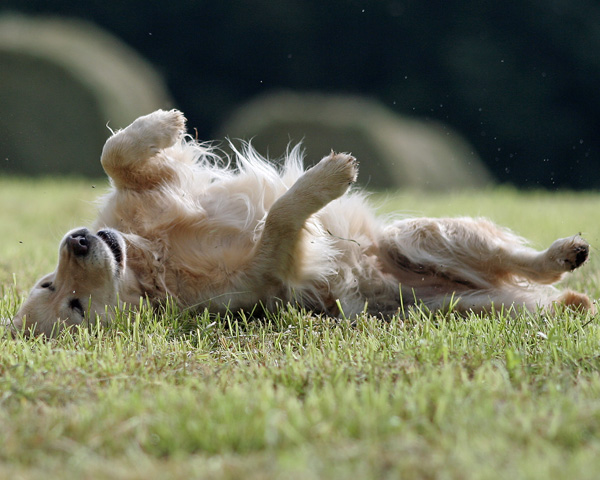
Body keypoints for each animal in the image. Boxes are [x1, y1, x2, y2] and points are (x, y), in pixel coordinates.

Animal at [9, 109, 596, 336]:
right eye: (74, 305)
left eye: (49, 283)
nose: (77, 239)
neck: (152, 258)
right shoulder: (272, 272)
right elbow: (279, 217)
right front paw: (327, 179)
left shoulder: (147, 194)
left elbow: (114, 154)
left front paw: (161, 125)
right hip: (458, 294)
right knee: (541, 284)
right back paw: (566, 271)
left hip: (418, 236)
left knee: (521, 262)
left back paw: (565, 253)